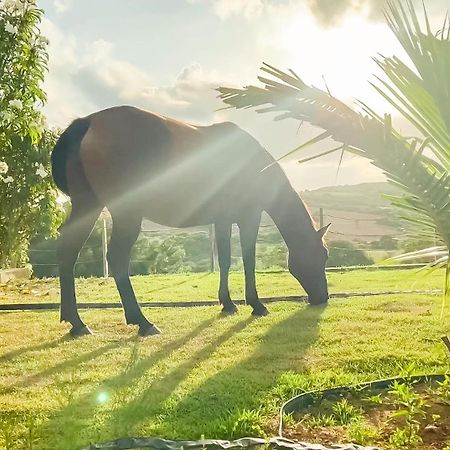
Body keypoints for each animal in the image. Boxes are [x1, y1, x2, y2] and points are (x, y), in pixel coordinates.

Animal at [51, 106, 330, 338]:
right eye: (322, 256)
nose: (323, 297)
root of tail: (88, 122)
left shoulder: (222, 220)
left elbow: (225, 260)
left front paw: (228, 303)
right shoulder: (249, 217)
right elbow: (248, 260)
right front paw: (256, 304)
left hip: (88, 206)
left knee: (68, 252)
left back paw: (77, 323)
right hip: (126, 213)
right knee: (117, 258)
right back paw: (142, 322)